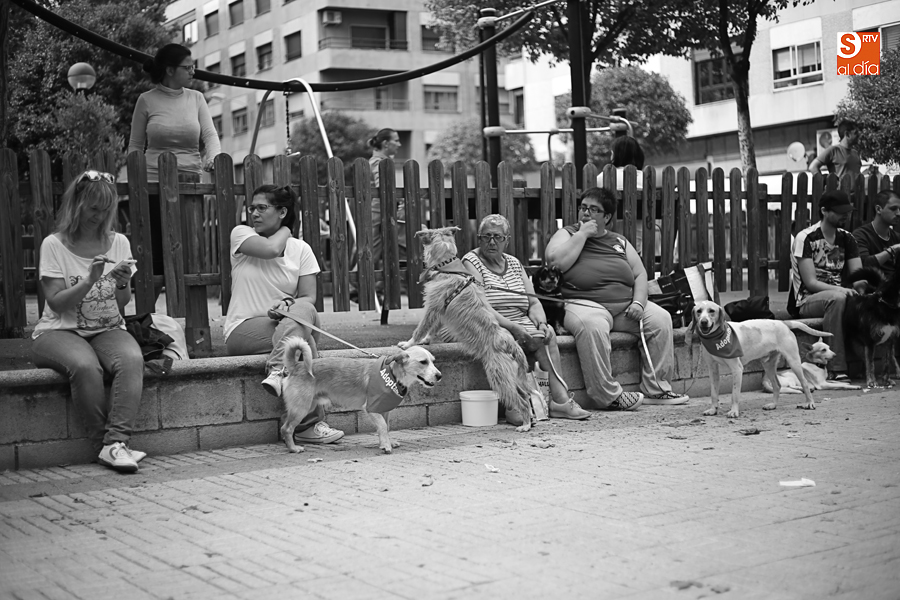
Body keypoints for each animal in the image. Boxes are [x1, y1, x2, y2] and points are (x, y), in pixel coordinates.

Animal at [280, 337, 441, 454]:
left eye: (433, 361)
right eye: (423, 362)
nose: (439, 376)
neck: (392, 376)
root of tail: (297, 366)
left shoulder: (384, 411)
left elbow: (386, 427)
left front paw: (386, 441)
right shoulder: (371, 408)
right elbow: (382, 426)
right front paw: (385, 445)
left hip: (309, 405)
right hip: (301, 408)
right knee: (286, 428)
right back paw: (293, 448)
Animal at [399, 226, 535, 432]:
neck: (448, 266)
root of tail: (510, 343)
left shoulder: (432, 308)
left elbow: (421, 328)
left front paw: (409, 344)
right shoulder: (441, 313)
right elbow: (432, 329)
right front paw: (426, 341)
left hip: (499, 377)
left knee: (521, 401)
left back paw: (525, 424)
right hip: (512, 377)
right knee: (525, 395)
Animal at [691, 300, 832, 418]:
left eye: (711, 311)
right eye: (699, 311)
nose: (703, 322)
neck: (716, 338)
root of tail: (782, 322)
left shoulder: (737, 369)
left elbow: (734, 394)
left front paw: (734, 411)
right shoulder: (713, 370)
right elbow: (714, 393)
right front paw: (713, 410)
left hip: (794, 362)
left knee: (805, 384)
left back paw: (810, 403)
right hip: (768, 365)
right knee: (777, 386)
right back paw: (773, 405)